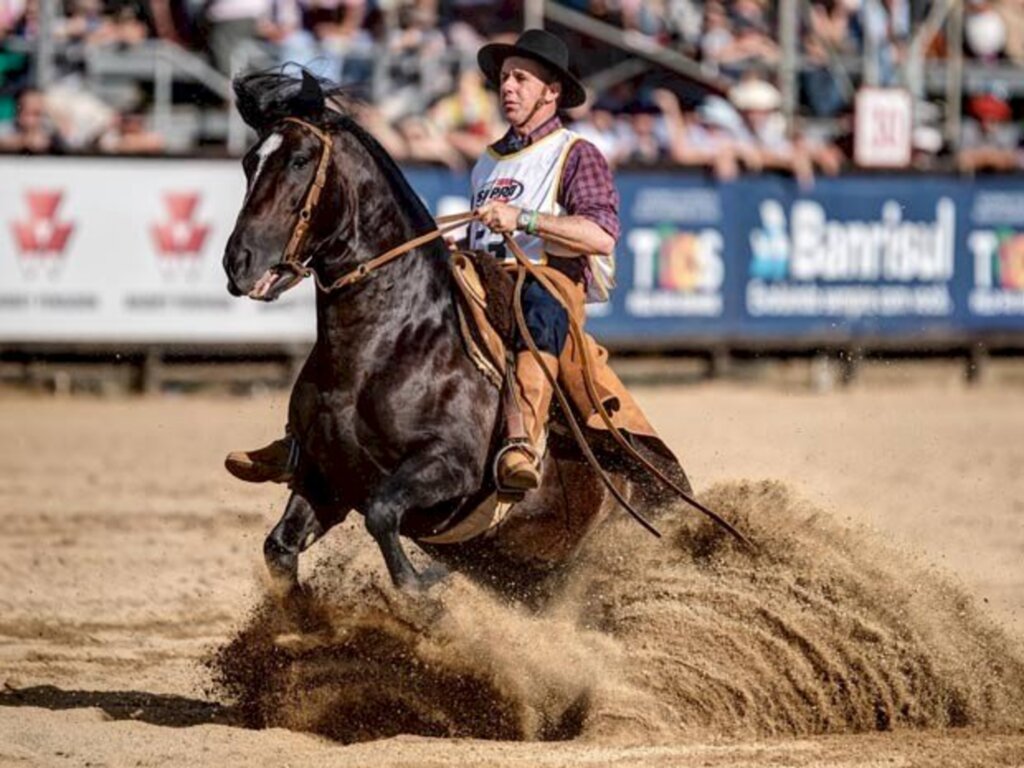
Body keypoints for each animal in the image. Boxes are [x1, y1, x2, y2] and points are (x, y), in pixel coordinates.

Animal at [220, 72, 692, 598]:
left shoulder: (450, 467)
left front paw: (420, 591)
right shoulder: (326, 479)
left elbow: (383, 516)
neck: (388, 346)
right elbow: (280, 548)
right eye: (250, 161)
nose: (238, 262)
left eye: (300, 160)